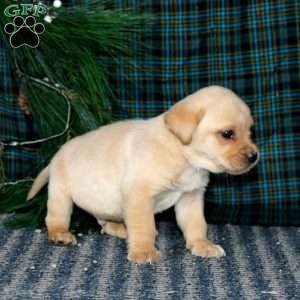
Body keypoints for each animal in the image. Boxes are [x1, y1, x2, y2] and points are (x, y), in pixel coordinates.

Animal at [27, 86, 258, 262]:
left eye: (250, 132)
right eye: (227, 134)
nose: (254, 156)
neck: (182, 154)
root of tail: (57, 155)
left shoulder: (190, 197)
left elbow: (197, 224)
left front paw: (202, 245)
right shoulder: (140, 195)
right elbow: (145, 225)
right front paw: (143, 251)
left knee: (104, 222)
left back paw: (121, 229)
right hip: (60, 195)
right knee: (55, 218)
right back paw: (60, 234)